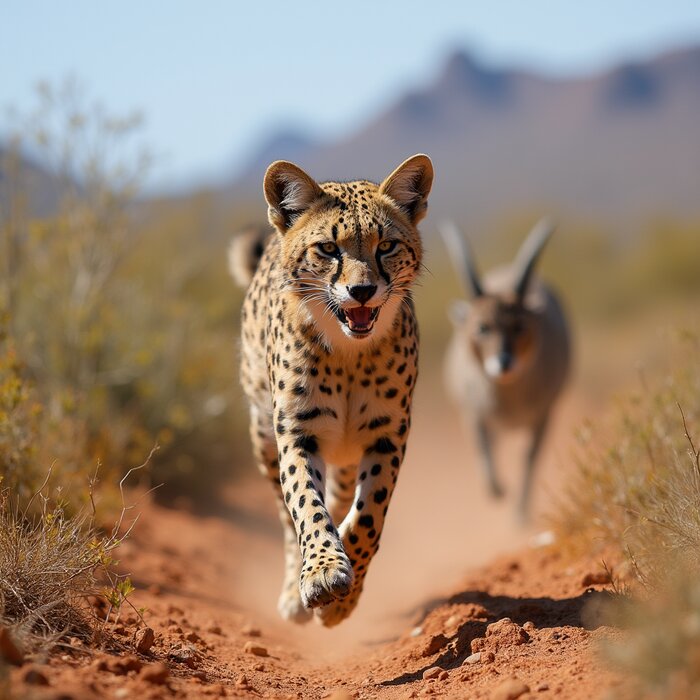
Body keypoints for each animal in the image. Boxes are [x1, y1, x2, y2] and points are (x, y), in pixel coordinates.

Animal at [232, 153, 432, 624]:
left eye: (386, 246)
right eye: (328, 249)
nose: (361, 290)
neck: (347, 354)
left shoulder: (387, 435)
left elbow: (368, 515)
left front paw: (344, 596)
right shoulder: (296, 434)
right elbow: (305, 504)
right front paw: (322, 572)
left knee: (342, 499)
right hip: (263, 437)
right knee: (286, 517)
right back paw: (294, 592)